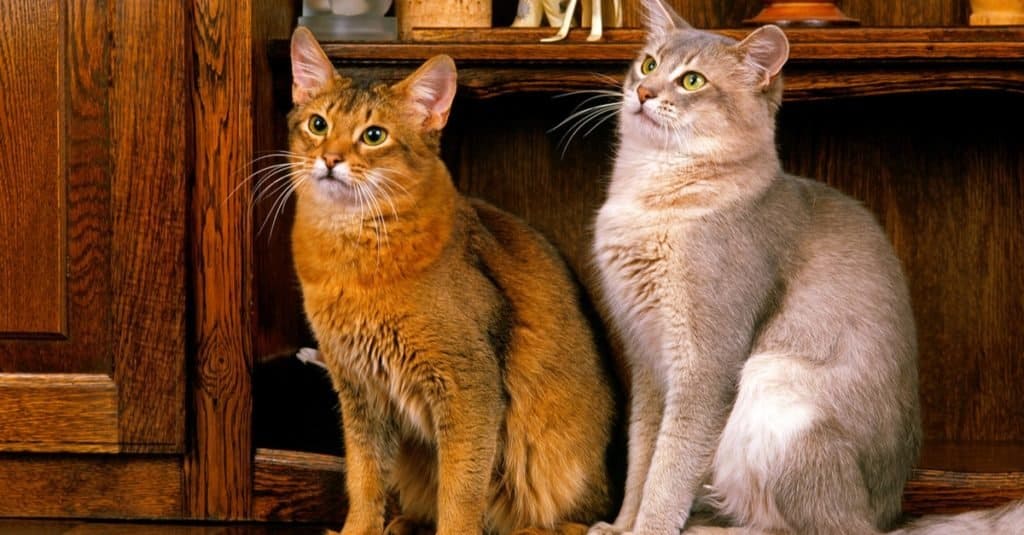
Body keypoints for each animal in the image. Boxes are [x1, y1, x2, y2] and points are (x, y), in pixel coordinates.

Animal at [284, 28, 614, 532]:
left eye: (374, 135)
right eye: (318, 124)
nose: (330, 159)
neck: (350, 254)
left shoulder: (470, 386)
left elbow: (460, 490)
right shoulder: (358, 389)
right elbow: (363, 479)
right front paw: (357, 529)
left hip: (554, 458)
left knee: (577, 519)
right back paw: (403, 523)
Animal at [589, 1, 1019, 532]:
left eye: (691, 80)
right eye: (648, 64)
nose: (644, 92)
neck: (649, 198)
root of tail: (887, 515)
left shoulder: (705, 365)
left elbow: (669, 468)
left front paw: (648, 527)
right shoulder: (647, 364)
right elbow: (641, 457)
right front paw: (621, 524)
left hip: (773, 390)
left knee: (814, 526)